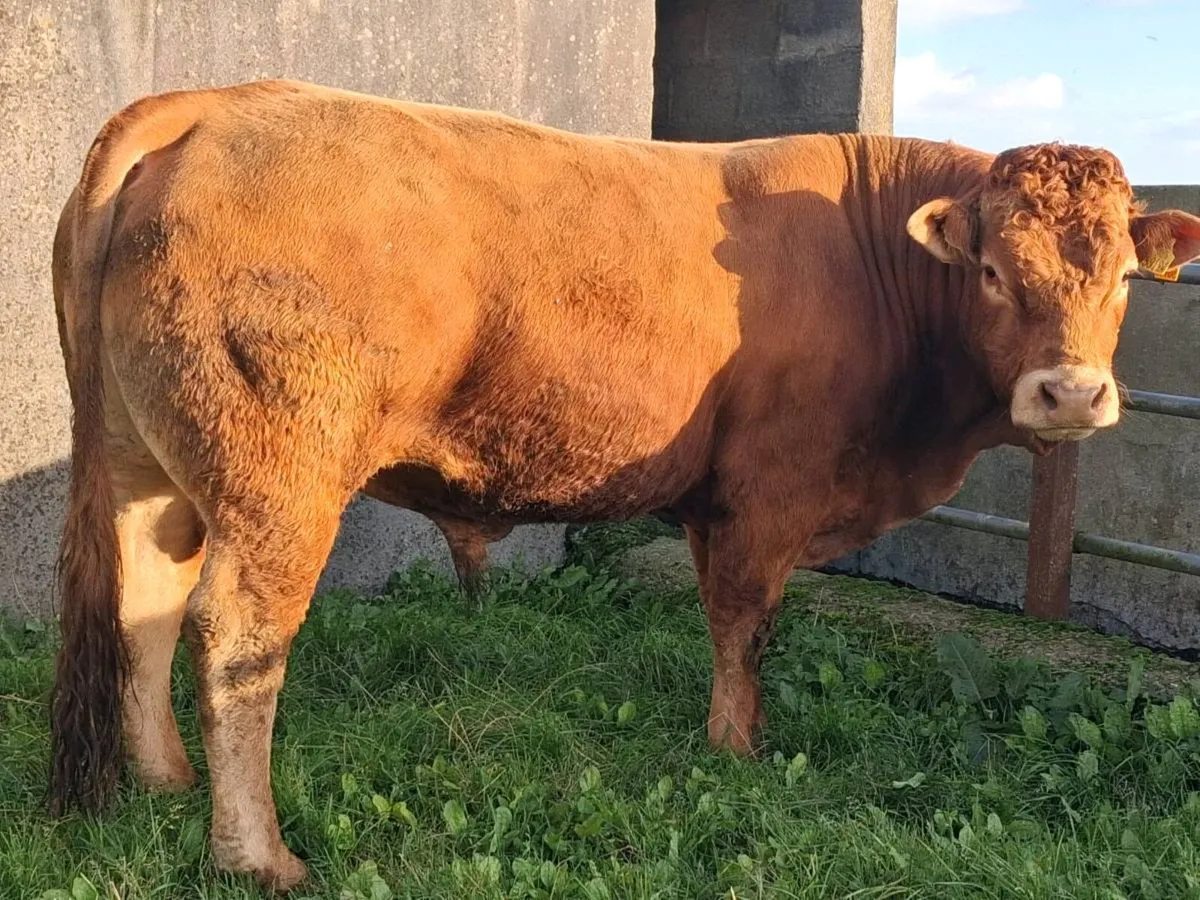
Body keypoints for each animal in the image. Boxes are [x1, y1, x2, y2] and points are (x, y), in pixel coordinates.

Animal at [48, 79, 1200, 890]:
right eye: (996, 273)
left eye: (1123, 278)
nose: (1070, 393)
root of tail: (216, 103)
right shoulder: (769, 486)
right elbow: (745, 621)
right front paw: (737, 752)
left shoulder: (714, 493)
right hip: (281, 484)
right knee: (238, 638)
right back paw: (258, 855)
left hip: (147, 471)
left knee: (146, 608)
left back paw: (164, 782)